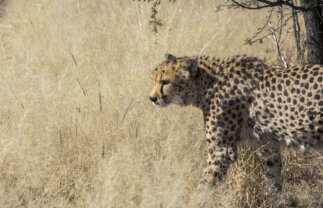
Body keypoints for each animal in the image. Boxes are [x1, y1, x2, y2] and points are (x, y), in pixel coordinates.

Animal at [149, 53, 323, 190]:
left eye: (165, 82)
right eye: (153, 80)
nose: (152, 98)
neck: (207, 83)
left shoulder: (221, 150)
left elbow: (205, 184)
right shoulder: (267, 143)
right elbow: (273, 175)